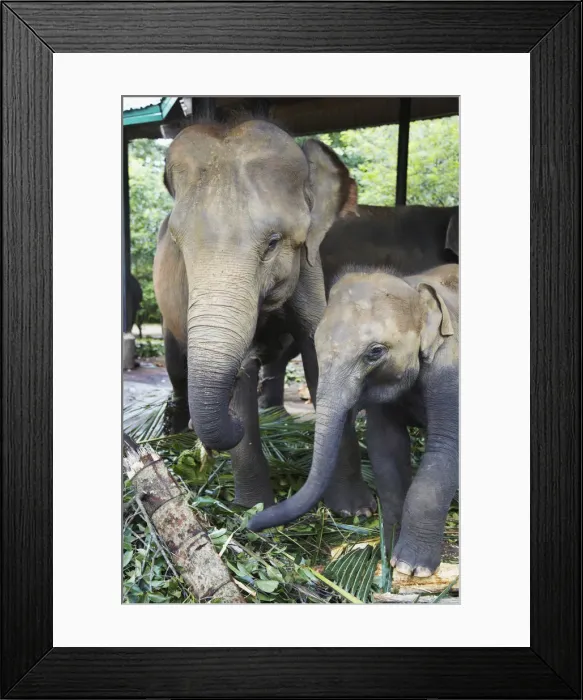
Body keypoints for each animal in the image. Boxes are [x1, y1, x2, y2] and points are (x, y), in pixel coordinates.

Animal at [153, 118, 376, 516]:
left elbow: (317, 352)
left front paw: (357, 511)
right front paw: (251, 511)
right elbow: (241, 369)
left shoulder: (310, 268)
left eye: (273, 243)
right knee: (177, 368)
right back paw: (175, 436)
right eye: (179, 246)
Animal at [249, 263, 459, 577]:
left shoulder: (452, 370)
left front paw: (412, 568)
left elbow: (445, 451)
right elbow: (386, 448)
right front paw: (388, 553)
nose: (250, 522)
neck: (414, 287)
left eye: (375, 352)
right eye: (316, 344)